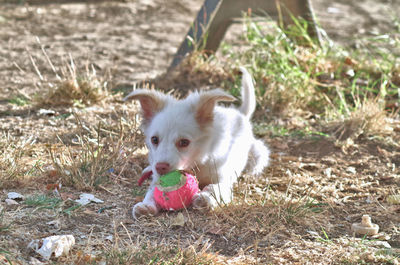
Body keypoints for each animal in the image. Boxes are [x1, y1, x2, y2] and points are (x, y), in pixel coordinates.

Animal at [123, 67, 270, 218]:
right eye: (154, 139)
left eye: (184, 142)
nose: (160, 167)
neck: (197, 163)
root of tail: (240, 114)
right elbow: (152, 191)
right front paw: (146, 205)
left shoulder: (224, 180)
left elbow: (215, 187)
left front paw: (206, 198)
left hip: (257, 154)